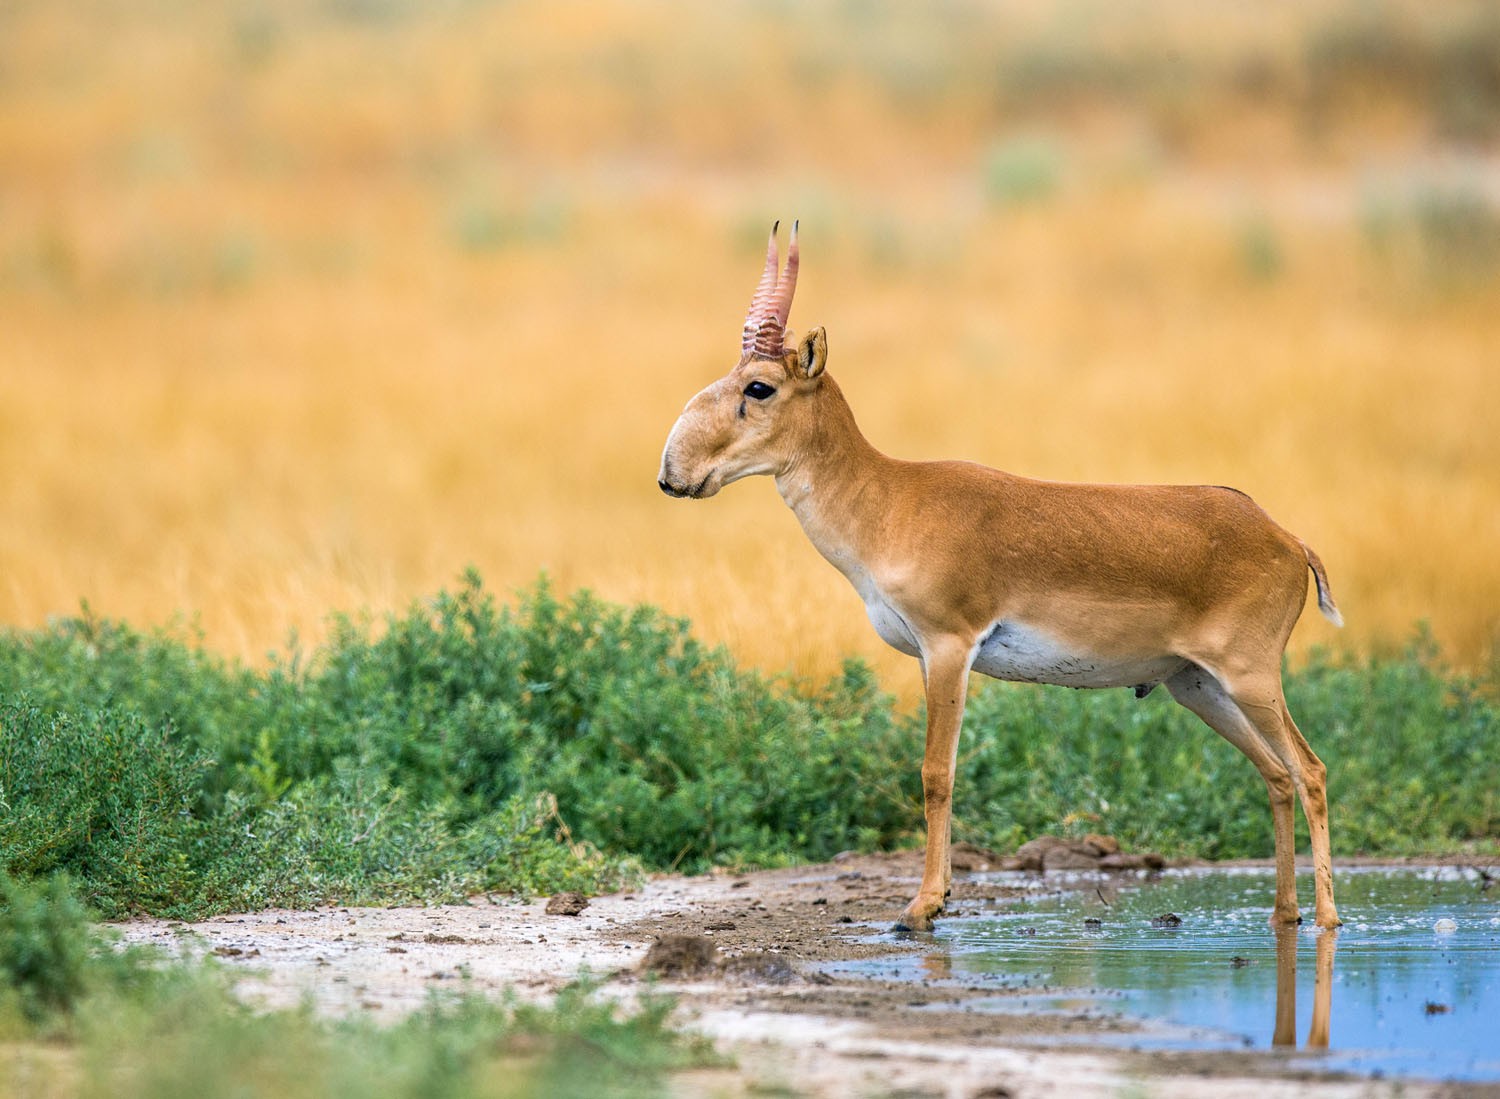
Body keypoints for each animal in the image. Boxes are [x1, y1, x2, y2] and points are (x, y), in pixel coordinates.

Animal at [663, 227, 1344, 929]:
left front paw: (921, 906)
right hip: (1197, 686)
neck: (888, 499)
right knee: (1277, 776)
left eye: (759, 387)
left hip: (1252, 678)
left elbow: (936, 772)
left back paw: (1326, 918)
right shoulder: (925, 656)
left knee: (1312, 771)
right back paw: (1283, 914)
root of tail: (1287, 538)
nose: (673, 474)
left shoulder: (949, 646)